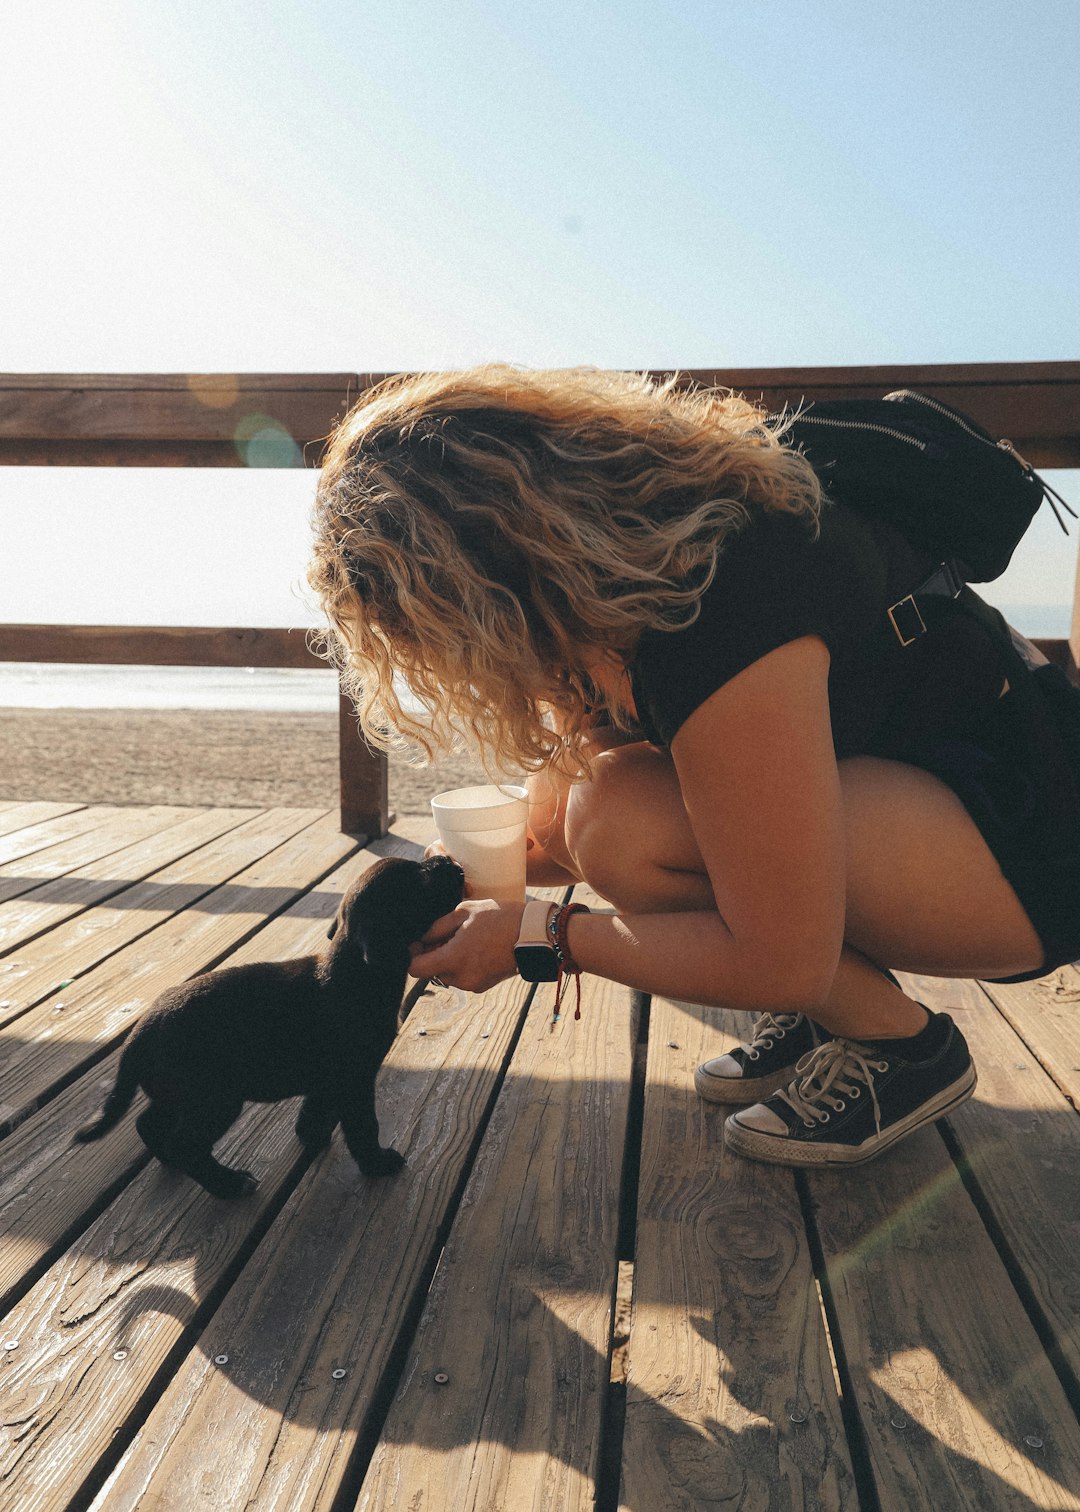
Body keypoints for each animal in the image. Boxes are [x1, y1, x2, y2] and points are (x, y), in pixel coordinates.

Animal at [74, 858, 462, 1197]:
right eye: (420, 881)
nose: (453, 864)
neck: (355, 972)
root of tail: (139, 1035)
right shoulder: (355, 1079)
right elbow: (364, 1127)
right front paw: (376, 1163)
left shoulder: (328, 1078)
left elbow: (314, 1109)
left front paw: (312, 1136)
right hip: (216, 1099)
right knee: (186, 1145)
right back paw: (229, 1186)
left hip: (179, 1093)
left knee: (149, 1125)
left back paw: (172, 1162)